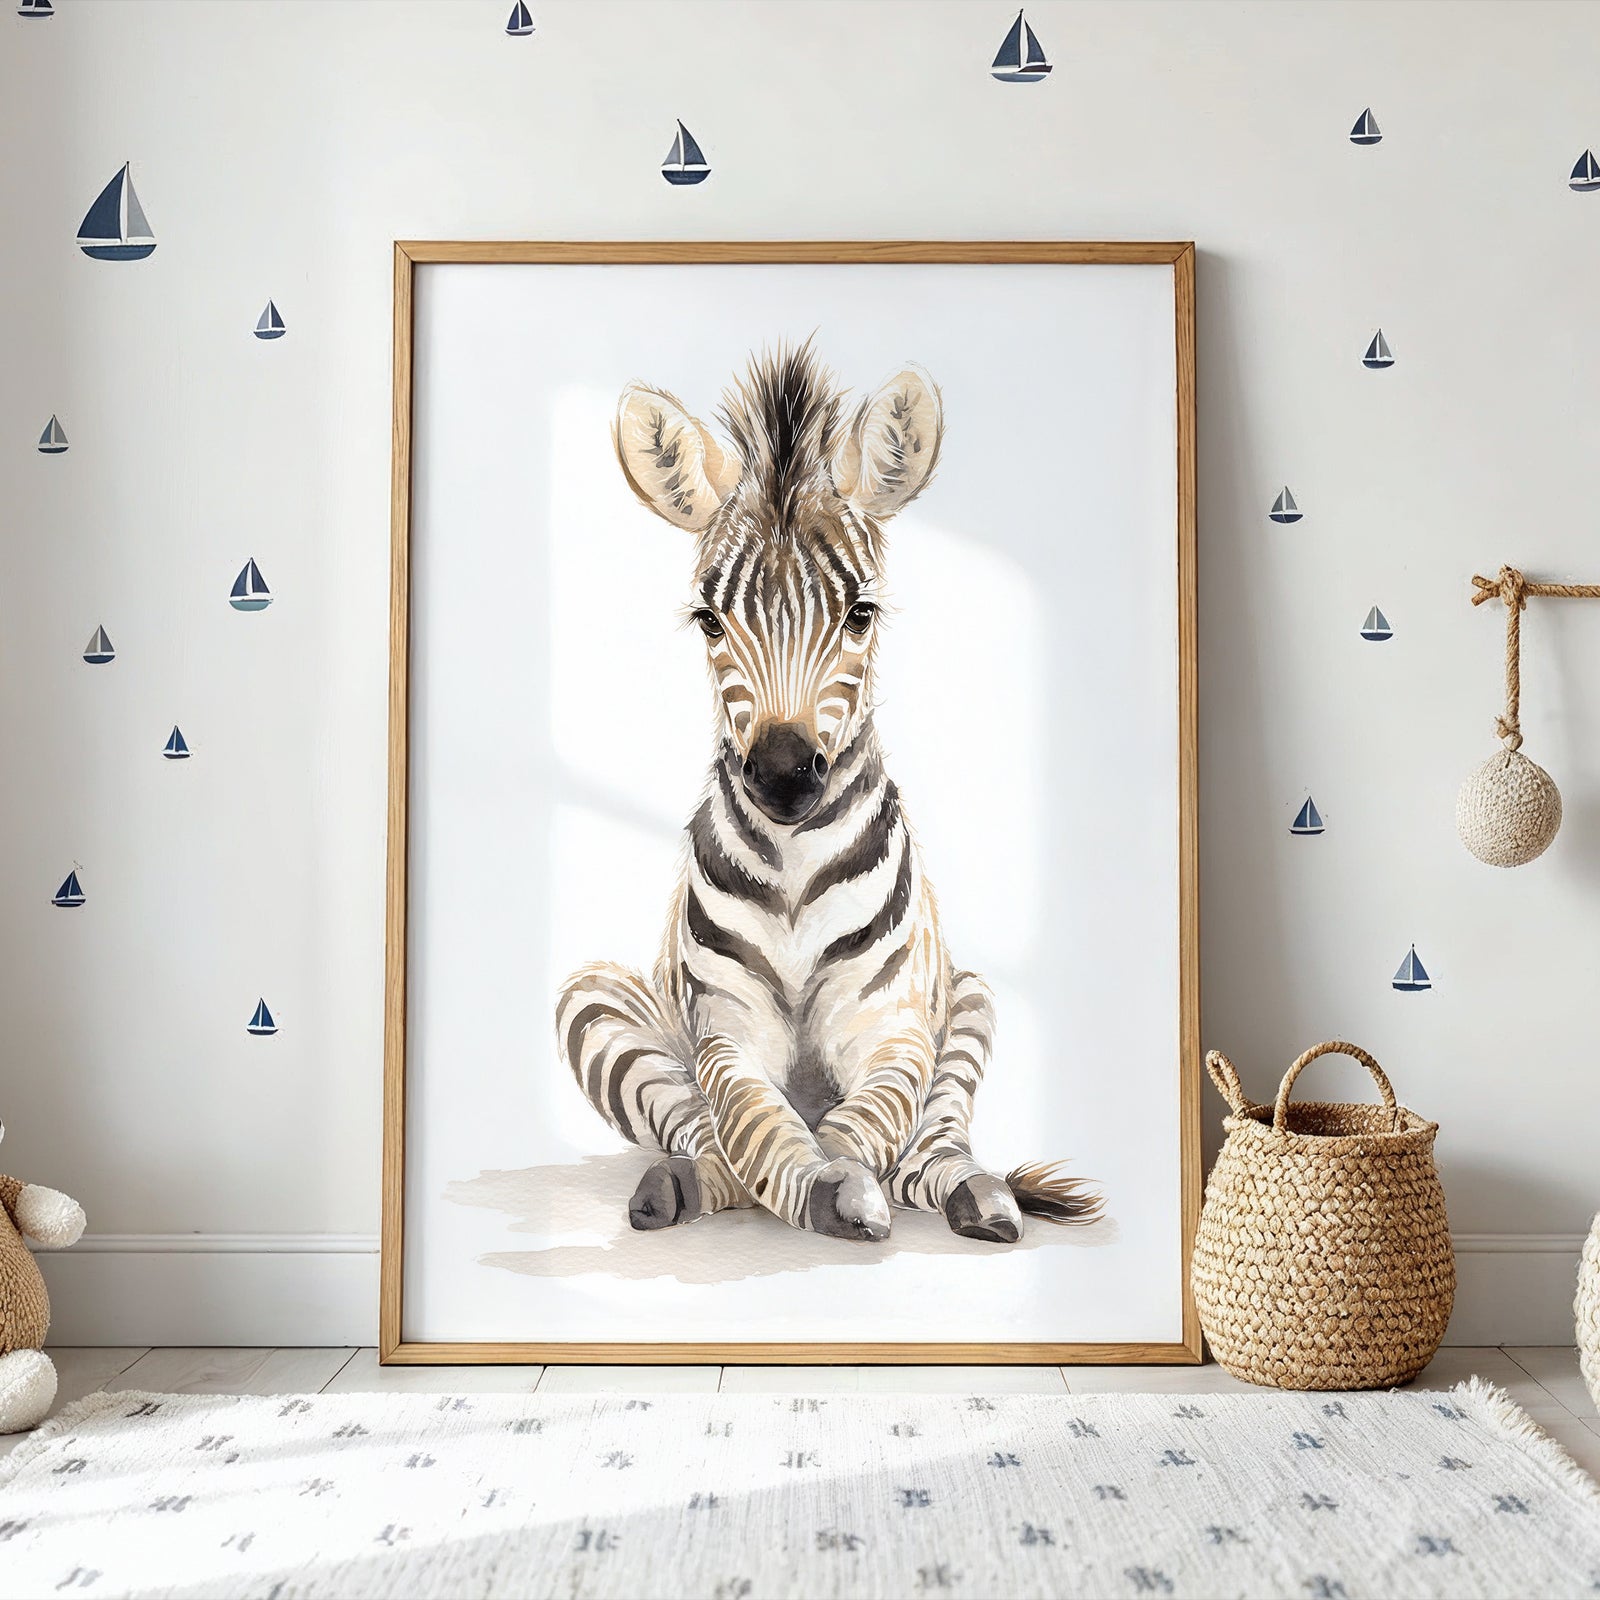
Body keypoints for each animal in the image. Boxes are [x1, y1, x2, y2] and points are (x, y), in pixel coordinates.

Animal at [556, 341, 1101, 1243]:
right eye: (709, 620)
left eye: (862, 614)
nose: (781, 774)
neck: (794, 864)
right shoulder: (726, 1034)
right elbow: (749, 1123)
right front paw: (803, 1185)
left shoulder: (895, 1032)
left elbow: (866, 1124)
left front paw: (842, 1184)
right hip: (595, 999)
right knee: (694, 1125)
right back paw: (681, 1183)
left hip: (971, 996)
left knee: (935, 1137)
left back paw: (976, 1194)